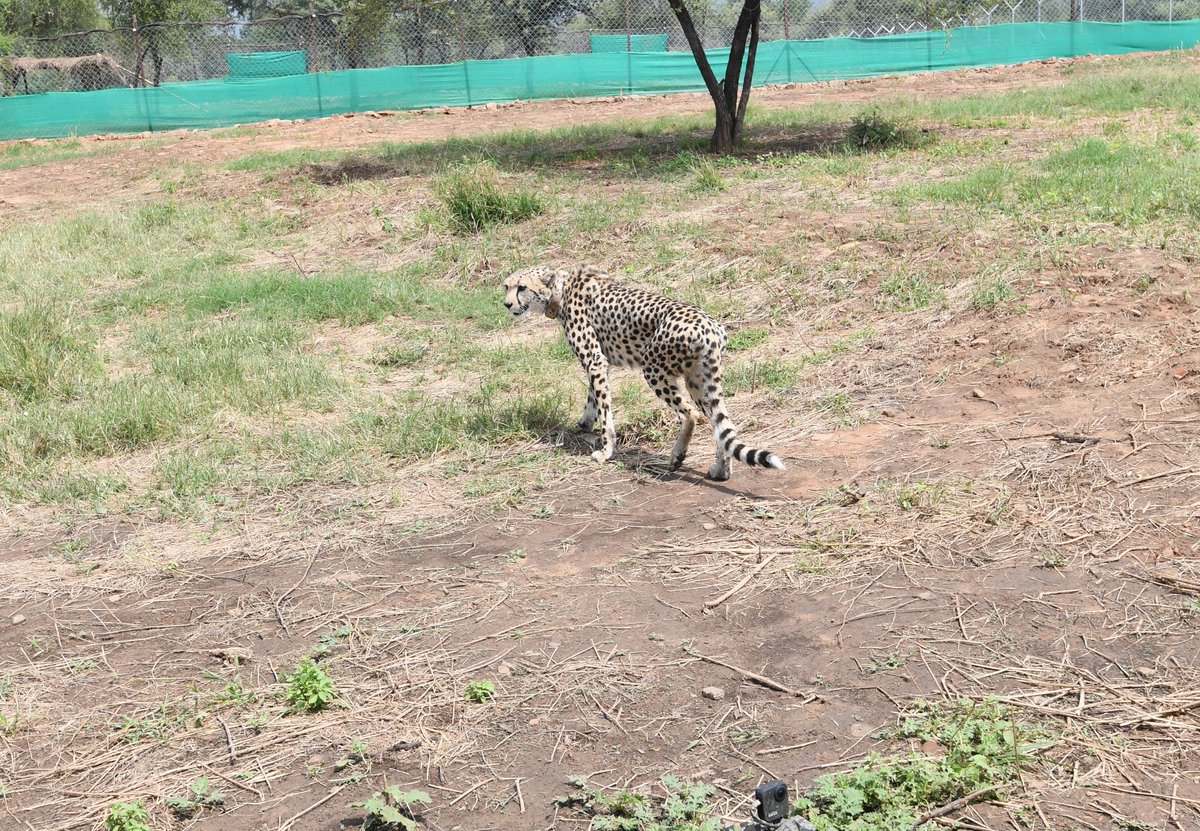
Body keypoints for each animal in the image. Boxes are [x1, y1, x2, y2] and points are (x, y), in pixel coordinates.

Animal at [501, 259, 782, 480]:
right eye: (507, 286)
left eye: (522, 287)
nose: (506, 304)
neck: (560, 290)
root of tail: (711, 326)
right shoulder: (601, 363)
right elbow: (593, 398)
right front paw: (584, 425)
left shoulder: (595, 359)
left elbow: (605, 410)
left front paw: (606, 451)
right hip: (698, 379)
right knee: (721, 424)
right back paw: (721, 470)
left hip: (653, 368)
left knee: (690, 414)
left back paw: (677, 456)